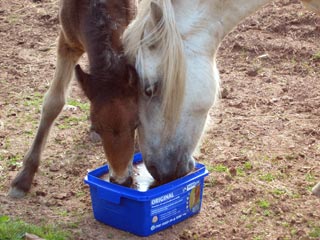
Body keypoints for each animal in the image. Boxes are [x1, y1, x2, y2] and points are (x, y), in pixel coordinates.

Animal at [9, 0, 138, 199]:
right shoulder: (67, 42)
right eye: (98, 128)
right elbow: (53, 103)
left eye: (136, 125)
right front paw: (24, 177)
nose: (122, 181)